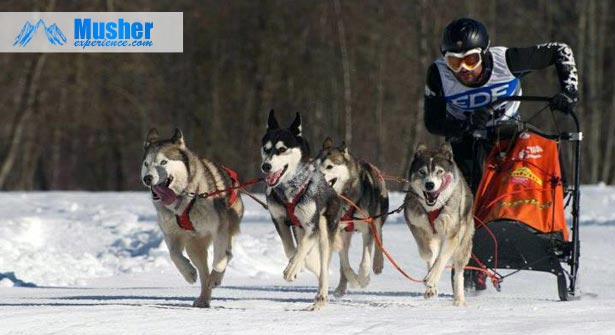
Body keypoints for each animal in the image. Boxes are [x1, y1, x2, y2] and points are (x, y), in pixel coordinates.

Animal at [141, 129, 243, 310]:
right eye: (146, 164)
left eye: (164, 162)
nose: (147, 178)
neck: (184, 200)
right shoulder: (171, 234)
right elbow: (174, 254)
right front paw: (188, 273)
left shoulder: (219, 229)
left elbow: (220, 258)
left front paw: (216, 277)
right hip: (194, 247)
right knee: (203, 272)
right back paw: (203, 298)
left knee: (227, 254)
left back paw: (214, 279)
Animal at [258, 111, 342, 312]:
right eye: (266, 148)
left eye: (282, 149)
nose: (266, 166)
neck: (288, 190)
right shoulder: (279, 220)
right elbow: (291, 249)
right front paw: (298, 266)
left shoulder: (312, 225)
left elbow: (302, 247)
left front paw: (292, 269)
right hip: (299, 228)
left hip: (324, 226)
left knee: (324, 262)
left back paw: (321, 297)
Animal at [318, 138, 390, 298]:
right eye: (315, 166)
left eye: (329, 166)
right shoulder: (338, 231)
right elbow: (344, 264)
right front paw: (354, 280)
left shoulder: (367, 228)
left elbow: (365, 261)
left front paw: (363, 279)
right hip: (346, 233)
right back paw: (341, 286)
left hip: (377, 219)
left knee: (379, 238)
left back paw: (378, 263)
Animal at [404, 143, 476, 306]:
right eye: (422, 172)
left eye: (440, 172)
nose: (429, 184)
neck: (433, 208)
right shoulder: (414, 223)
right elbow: (427, 253)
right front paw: (431, 277)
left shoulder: (452, 234)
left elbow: (441, 259)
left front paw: (432, 278)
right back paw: (431, 289)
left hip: (463, 244)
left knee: (458, 272)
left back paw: (459, 299)